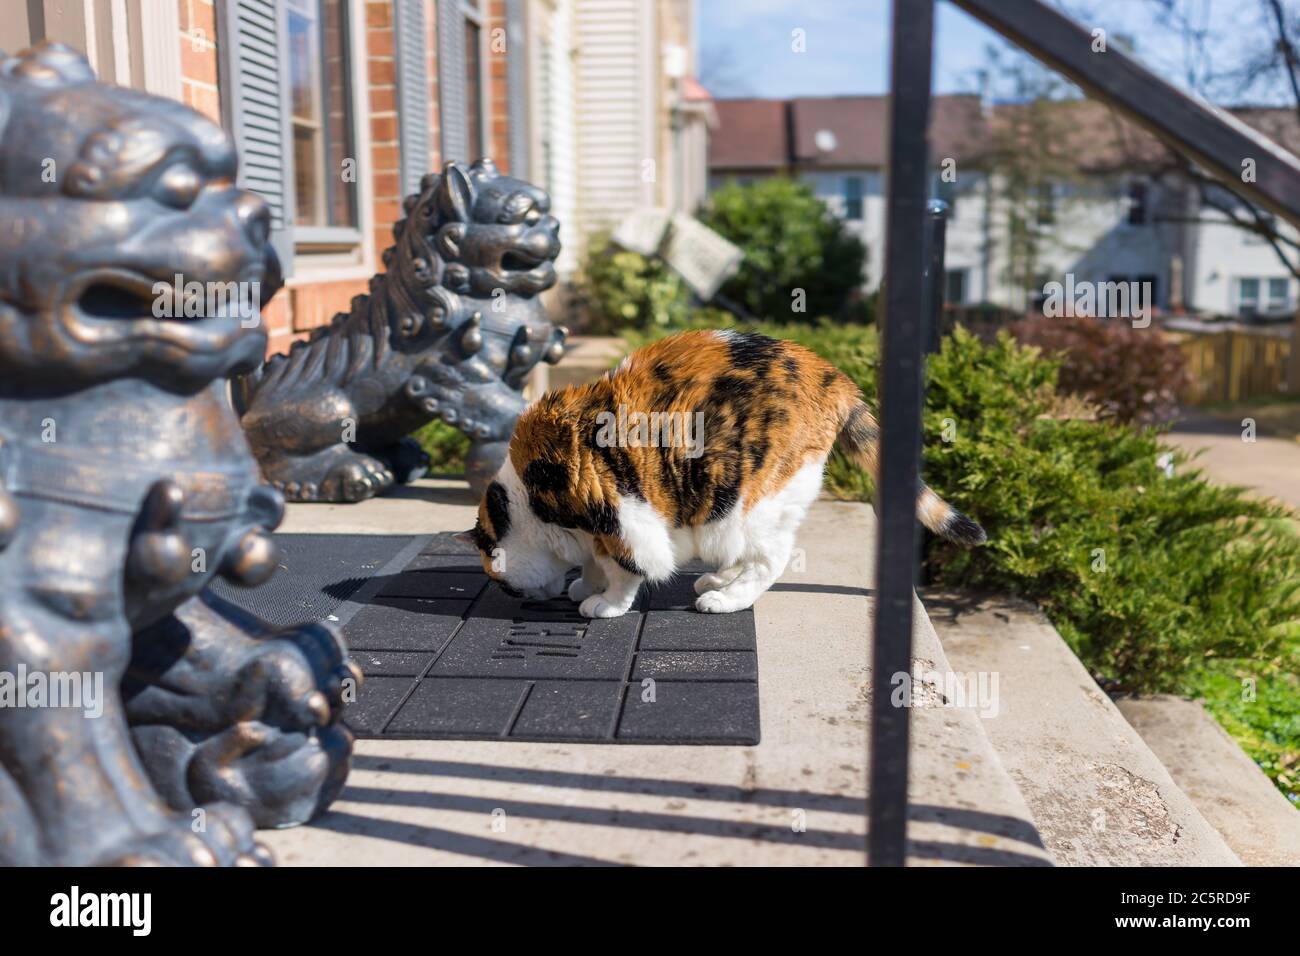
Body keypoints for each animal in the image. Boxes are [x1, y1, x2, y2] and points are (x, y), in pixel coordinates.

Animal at [457, 329, 982, 616]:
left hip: (745, 503)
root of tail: (836, 380)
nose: (509, 590)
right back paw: (718, 581)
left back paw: (728, 598)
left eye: (500, 580)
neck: (527, 501)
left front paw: (604, 603)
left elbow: (626, 568)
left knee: (773, 558)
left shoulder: (622, 517)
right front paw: (586, 583)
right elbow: (595, 561)